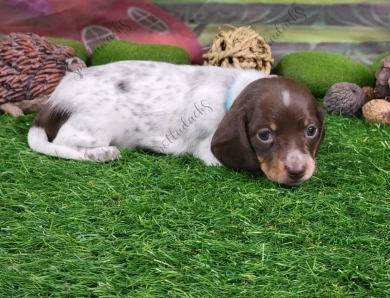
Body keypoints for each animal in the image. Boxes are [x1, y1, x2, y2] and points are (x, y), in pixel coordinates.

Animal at [27, 60, 324, 185]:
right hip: (99, 122)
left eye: (311, 130)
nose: (298, 171)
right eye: (265, 135)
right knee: (65, 140)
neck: (231, 92)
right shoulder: (210, 152)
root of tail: (54, 101)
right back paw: (103, 153)